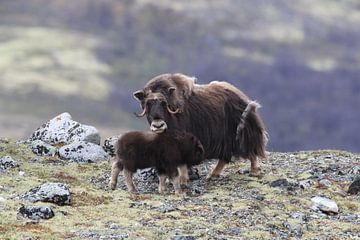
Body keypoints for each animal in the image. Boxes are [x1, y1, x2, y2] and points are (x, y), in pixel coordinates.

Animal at [134, 73, 268, 180]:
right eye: (148, 104)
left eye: (163, 103)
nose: (158, 126)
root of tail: (244, 98)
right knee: (226, 157)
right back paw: (212, 175)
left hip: (240, 132)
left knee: (249, 149)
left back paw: (253, 171)